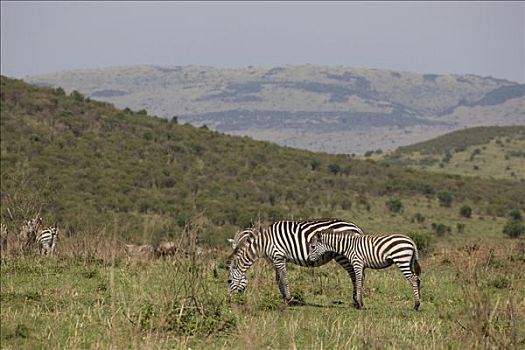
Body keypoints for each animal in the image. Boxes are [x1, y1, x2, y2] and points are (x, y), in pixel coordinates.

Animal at [225, 219, 364, 304]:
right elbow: (278, 279)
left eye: (229, 281)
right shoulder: (275, 259)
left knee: (354, 275)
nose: (228, 299)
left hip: (343, 255)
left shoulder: (279, 257)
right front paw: (284, 299)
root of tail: (356, 227)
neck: (263, 243)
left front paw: (288, 299)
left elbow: (284, 279)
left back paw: (356, 300)